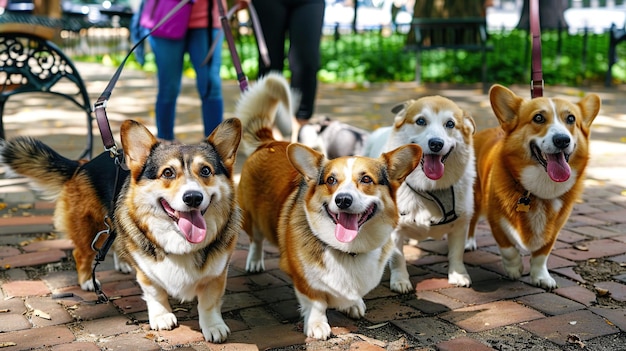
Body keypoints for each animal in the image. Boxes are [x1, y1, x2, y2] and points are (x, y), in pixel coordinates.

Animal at [0, 119, 243, 344]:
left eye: (205, 171)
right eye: (168, 173)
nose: (193, 197)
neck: (179, 239)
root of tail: (82, 164)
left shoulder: (217, 273)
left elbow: (208, 303)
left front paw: (213, 326)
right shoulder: (146, 271)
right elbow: (155, 293)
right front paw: (162, 316)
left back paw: (123, 264)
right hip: (92, 227)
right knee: (82, 254)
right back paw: (88, 280)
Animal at [360, 95, 472, 292]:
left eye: (450, 124)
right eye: (421, 121)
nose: (436, 143)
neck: (429, 187)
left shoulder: (460, 223)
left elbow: (456, 253)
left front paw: (458, 275)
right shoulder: (394, 230)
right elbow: (397, 257)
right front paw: (400, 281)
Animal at [468, 84, 600, 288]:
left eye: (571, 119)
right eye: (538, 118)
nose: (562, 140)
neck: (538, 189)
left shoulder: (555, 229)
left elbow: (541, 255)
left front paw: (541, 277)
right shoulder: (496, 221)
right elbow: (508, 249)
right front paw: (515, 269)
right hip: (474, 198)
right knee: (471, 221)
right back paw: (468, 243)